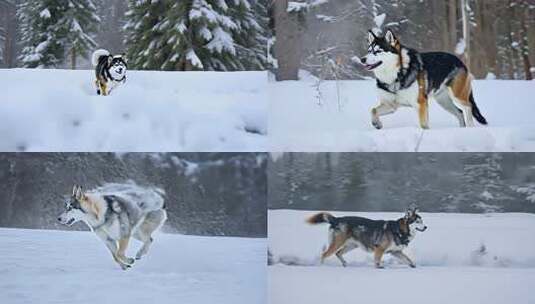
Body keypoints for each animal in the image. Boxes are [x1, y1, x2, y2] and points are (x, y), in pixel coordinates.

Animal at [360, 28, 490, 128]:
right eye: (368, 51)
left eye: (378, 51)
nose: (362, 59)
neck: (395, 74)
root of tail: (460, 61)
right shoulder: (391, 105)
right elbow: (373, 110)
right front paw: (377, 124)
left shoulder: (420, 103)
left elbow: (423, 125)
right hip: (443, 101)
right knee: (460, 112)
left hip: (457, 95)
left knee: (468, 107)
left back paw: (470, 128)